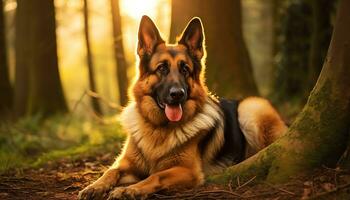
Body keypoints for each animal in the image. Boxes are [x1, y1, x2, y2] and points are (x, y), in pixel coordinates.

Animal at [79, 16, 288, 200]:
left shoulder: (188, 171)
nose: (177, 94)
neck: (158, 128)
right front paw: (94, 186)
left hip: (251, 107)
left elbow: (156, 175)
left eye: (185, 69)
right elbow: (111, 170)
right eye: (162, 68)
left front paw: (131, 189)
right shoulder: (127, 164)